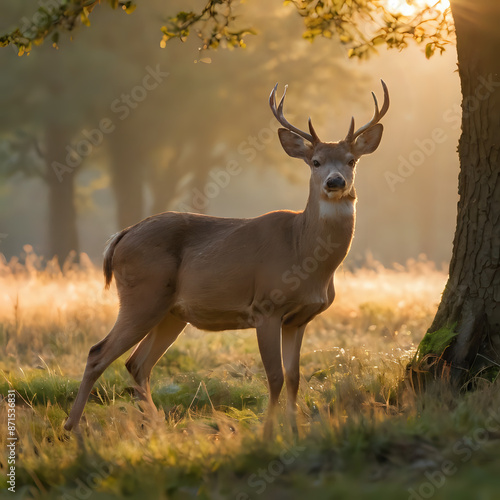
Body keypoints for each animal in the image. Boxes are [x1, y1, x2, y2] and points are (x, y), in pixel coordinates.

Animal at [63, 81, 390, 438]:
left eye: (351, 161)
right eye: (315, 162)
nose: (335, 182)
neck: (302, 252)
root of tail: (120, 237)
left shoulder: (299, 318)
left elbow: (294, 377)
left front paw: (294, 429)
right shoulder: (266, 305)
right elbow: (274, 376)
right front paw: (268, 432)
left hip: (171, 313)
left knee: (137, 363)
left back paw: (157, 427)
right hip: (142, 296)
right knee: (98, 353)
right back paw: (72, 428)